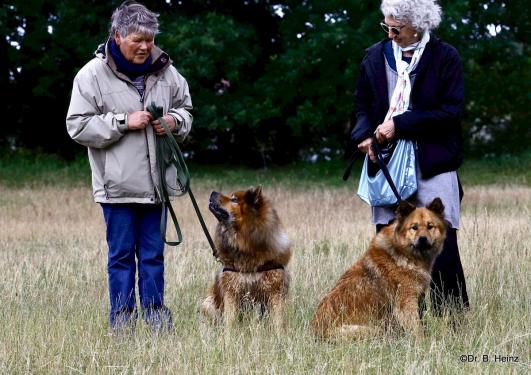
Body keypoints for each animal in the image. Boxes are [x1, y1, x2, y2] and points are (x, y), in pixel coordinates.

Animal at [201, 187, 290, 330]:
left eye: (234, 199)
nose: (213, 192)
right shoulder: (231, 291)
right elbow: (230, 320)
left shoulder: (275, 291)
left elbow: (278, 321)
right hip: (208, 303)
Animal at [312, 200, 448, 340]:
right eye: (414, 227)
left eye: (430, 226)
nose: (423, 239)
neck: (403, 251)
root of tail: (316, 332)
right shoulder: (406, 301)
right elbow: (416, 328)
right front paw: (422, 341)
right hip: (373, 329)